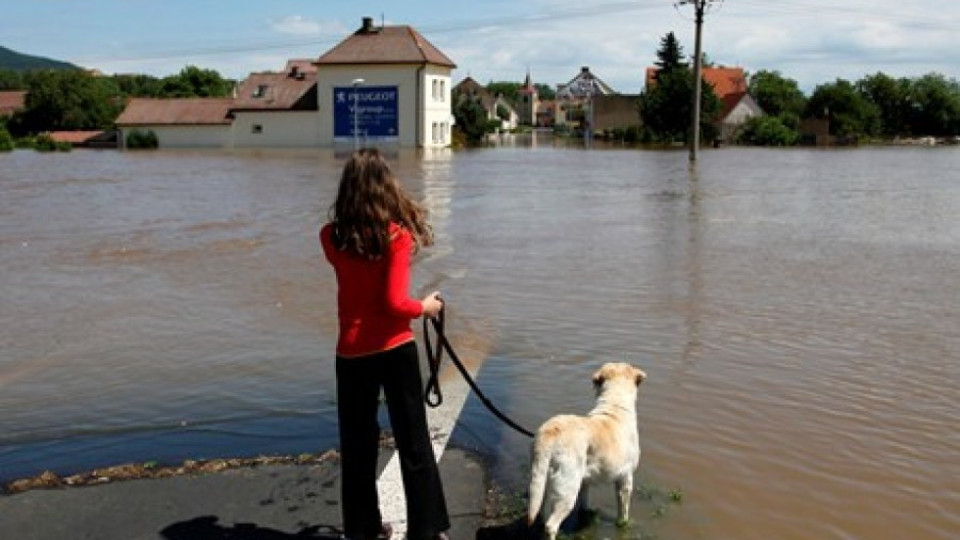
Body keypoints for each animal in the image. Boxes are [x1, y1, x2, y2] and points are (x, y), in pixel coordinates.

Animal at [524, 362, 644, 540]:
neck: (614, 407)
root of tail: (549, 434)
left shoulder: (585, 479)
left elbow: (584, 500)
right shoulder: (625, 477)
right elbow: (623, 509)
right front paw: (624, 524)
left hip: (542, 479)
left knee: (540, 513)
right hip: (567, 489)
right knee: (551, 524)